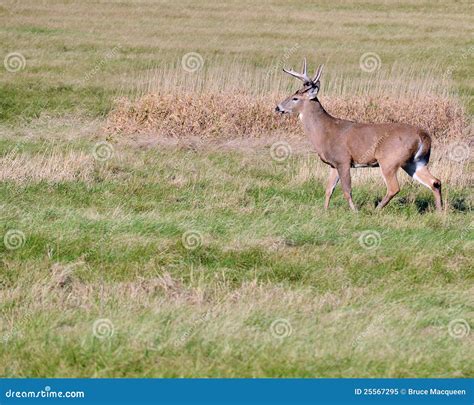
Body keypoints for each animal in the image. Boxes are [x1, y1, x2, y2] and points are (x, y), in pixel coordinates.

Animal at [276, 59, 442, 211]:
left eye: (295, 98)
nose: (277, 107)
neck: (325, 132)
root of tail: (424, 136)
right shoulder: (333, 164)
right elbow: (329, 189)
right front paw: (324, 211)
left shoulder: (343, 159)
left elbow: (347, 189)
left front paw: (354, 211)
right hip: (415, 162)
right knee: (435, 182)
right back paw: (440, 211)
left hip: (389, 160)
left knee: (394, 187)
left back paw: (376, 210)